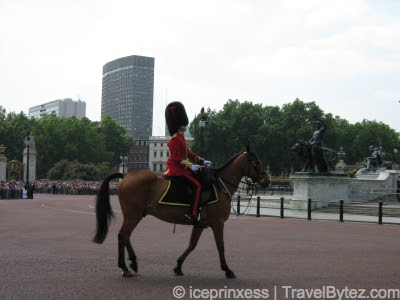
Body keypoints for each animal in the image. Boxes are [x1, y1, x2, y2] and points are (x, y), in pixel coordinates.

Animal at [92, 148, 270, 278]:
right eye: (256, 162)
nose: (267, 181)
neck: (220, 185)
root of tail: (126, 174)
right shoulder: (217, 223)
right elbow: (221, 246)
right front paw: (227, 269)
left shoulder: (200, 224)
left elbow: (192, 245)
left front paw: (178, 265)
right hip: (133, 214)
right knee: (123, 235)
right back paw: (124, 267)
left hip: (136, 215)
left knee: (126, 236)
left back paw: (133, 263)